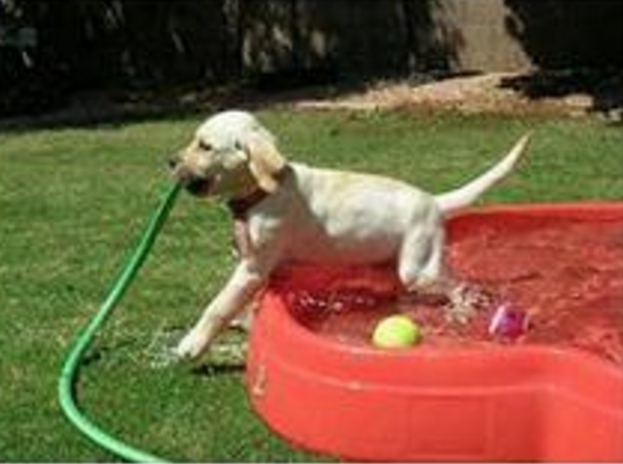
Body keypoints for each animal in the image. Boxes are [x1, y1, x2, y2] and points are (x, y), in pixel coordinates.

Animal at [169, 110, 530, 359]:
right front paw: (242, 321)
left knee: (458, 285)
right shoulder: (248, 261)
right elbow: (239, 301)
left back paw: (463, 307)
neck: (262, 192)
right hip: (391, 266)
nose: (170, 161)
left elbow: (219, 305)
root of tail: (434, 201)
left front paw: (192, 344)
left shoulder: (253, 268)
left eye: (204, 146)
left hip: (418, 267)